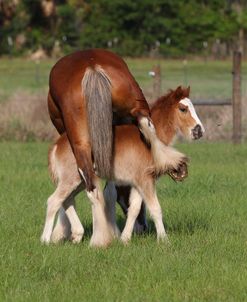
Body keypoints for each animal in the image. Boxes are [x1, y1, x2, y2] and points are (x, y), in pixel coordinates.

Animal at [41, 86, 204, 247]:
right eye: (183, 109)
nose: (199, 131)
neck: (150, 139)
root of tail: (57, 145)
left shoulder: (138, 183)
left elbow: (134, 209)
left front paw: (124, 239)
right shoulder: (145, 180)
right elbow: (155, 209)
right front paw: (164, 240)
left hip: (81, 181)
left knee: (66, 200)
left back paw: (77, 234)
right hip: (72, 179)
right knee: (54, 201)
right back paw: (45, 240)